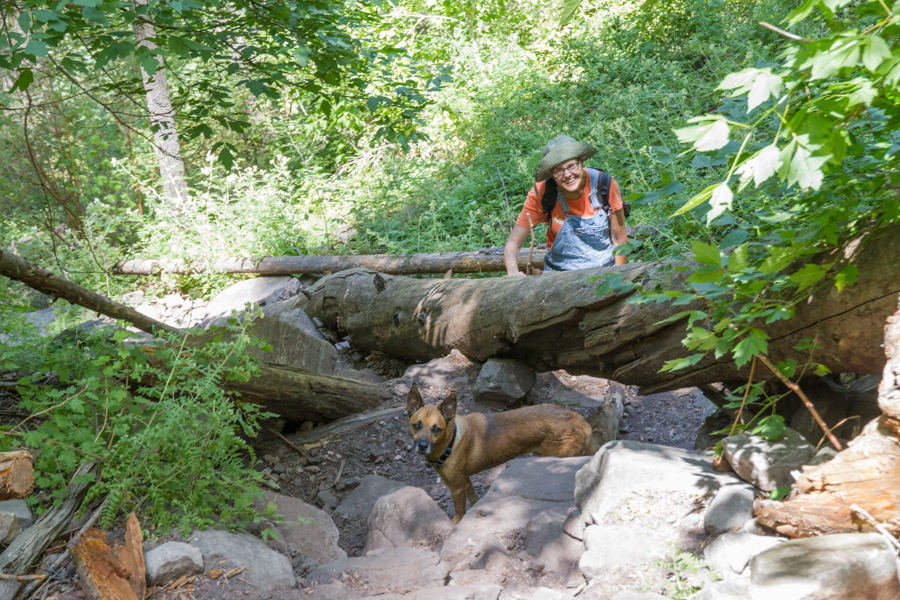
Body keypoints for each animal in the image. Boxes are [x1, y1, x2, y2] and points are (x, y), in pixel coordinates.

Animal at [406, 386, 596, 524]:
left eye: (437, 429)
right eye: (416, 425)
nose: (422, 446)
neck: (450, 442)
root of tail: (581, 421)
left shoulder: (457, 488)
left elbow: (459, 514)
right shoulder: (465, 480)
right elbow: (474, 500)